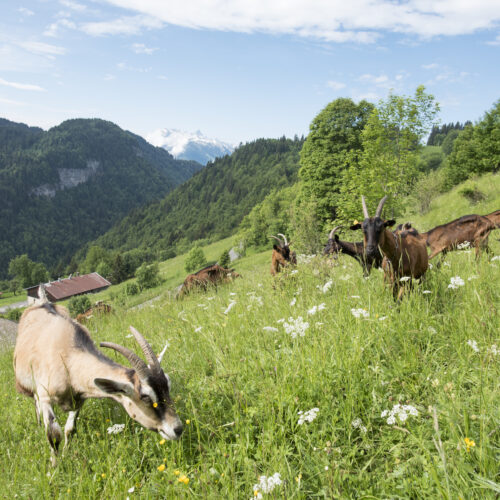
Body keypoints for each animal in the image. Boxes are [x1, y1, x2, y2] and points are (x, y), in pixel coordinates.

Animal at [12, 290, 183, 464]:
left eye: (167, 384)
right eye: (146, 397)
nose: (178, 429)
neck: (67, 357)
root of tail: (42, 301)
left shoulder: (79, 399)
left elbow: (69, 429)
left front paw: (66, 453)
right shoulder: (45, 397)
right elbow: (53, 435)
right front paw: (55, 465)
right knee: (36, 404)